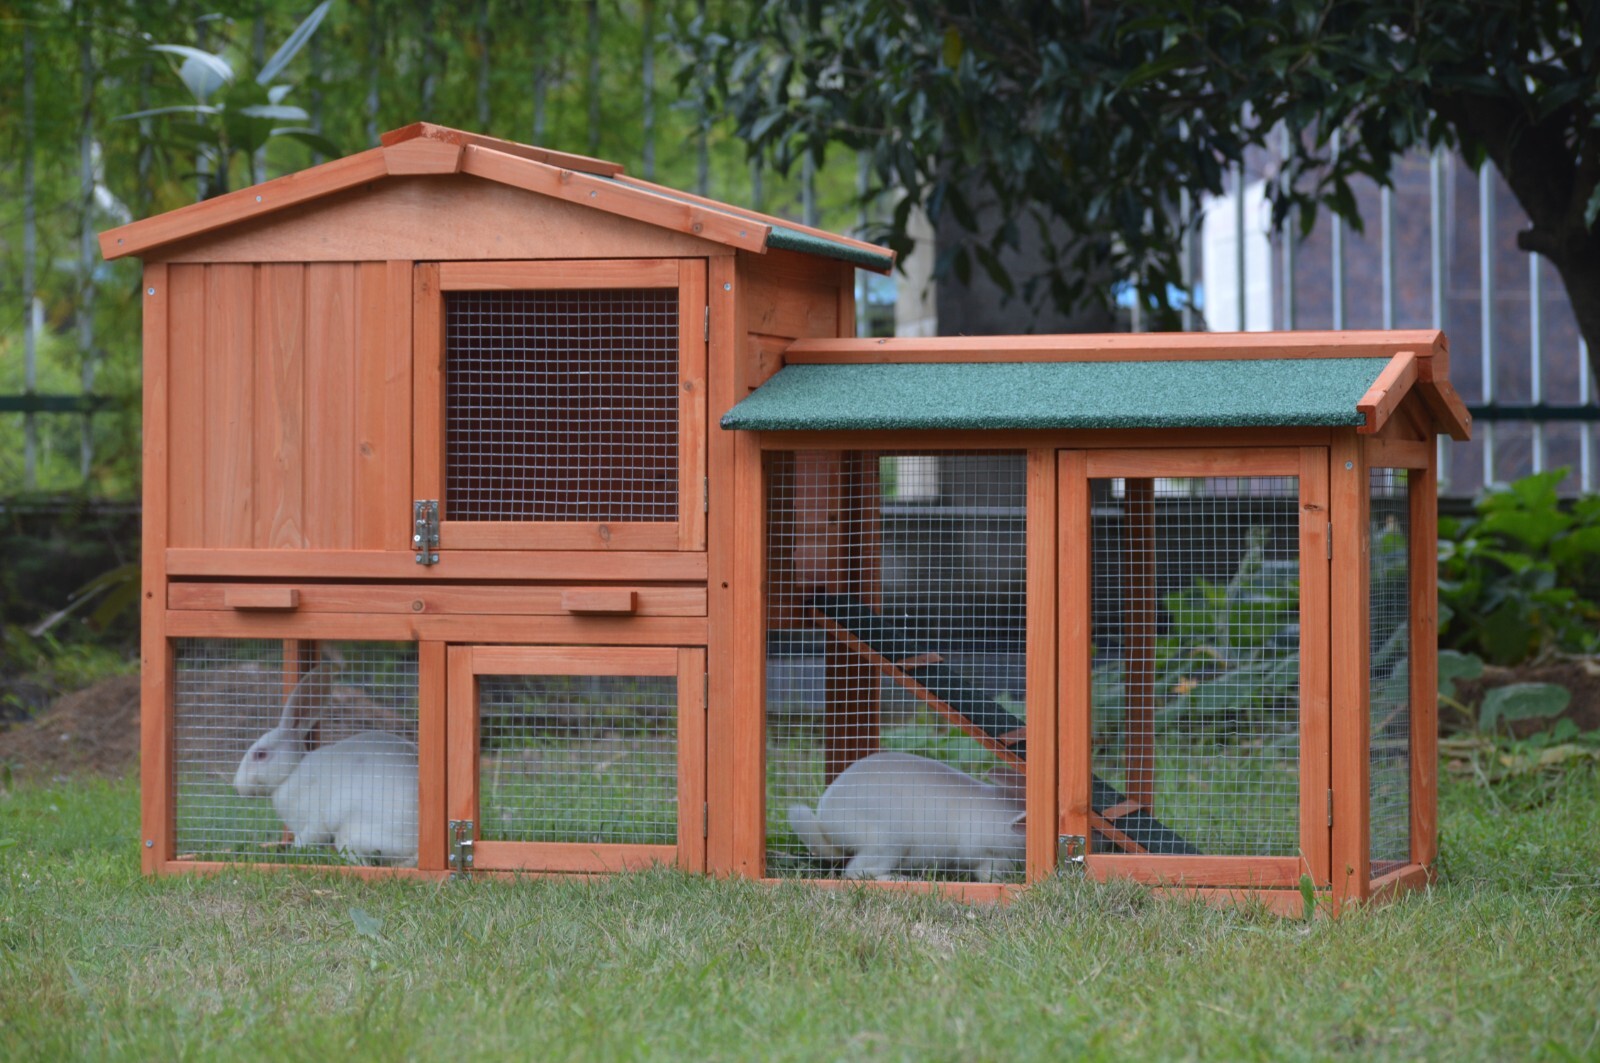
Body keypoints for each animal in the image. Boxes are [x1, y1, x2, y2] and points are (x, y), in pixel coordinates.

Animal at [233, 663, 419, 867]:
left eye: (260, 754)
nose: (237, 787)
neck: (291, 772)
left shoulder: (314, 820)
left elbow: (306, 838)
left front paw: (296, 850)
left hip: (351, 833)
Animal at [788, 751, 1027, 882]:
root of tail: (825, 823)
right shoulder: (988, 854)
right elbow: (988, 874)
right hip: (887, 844)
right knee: (856, 872)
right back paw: (900, 878)